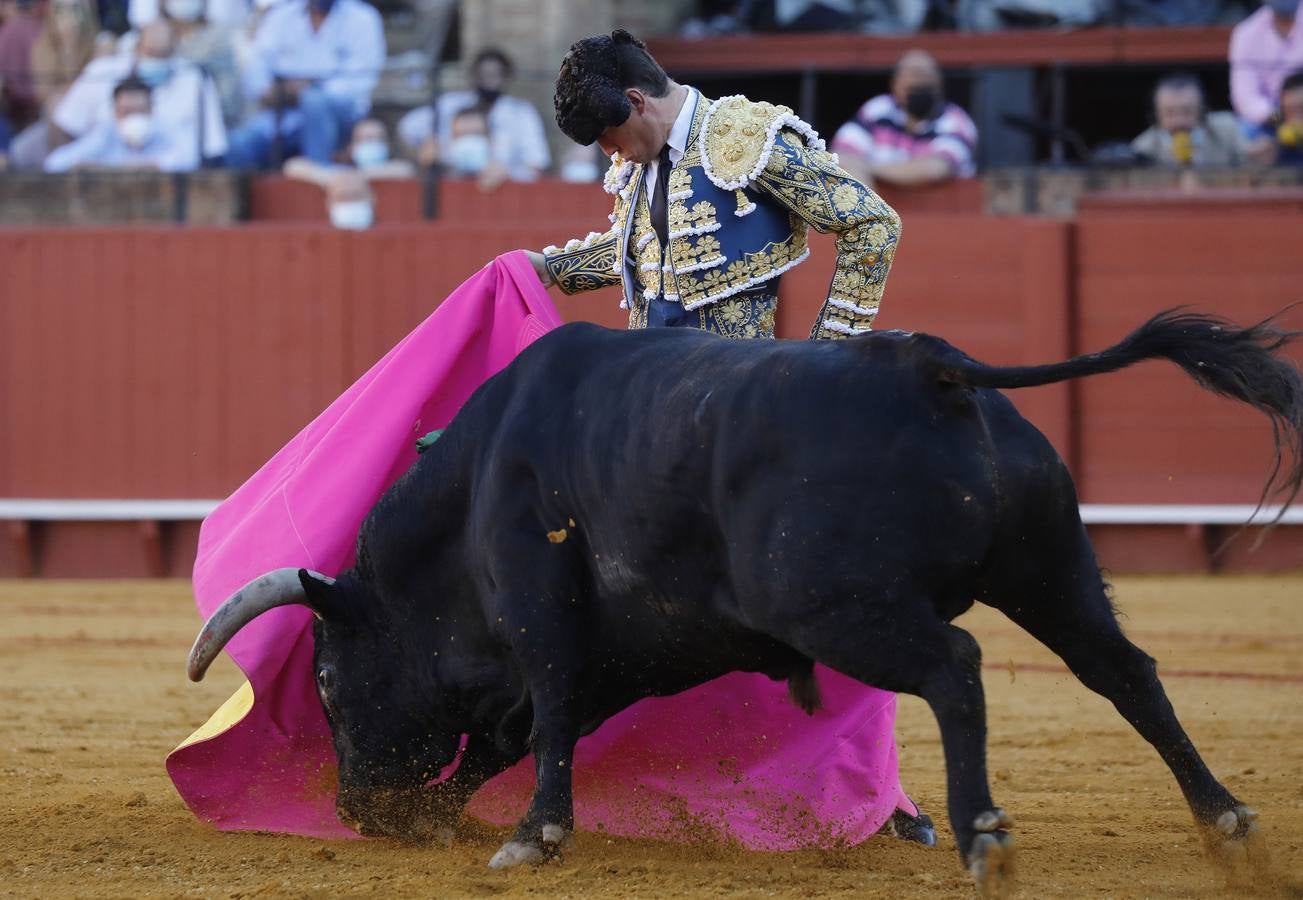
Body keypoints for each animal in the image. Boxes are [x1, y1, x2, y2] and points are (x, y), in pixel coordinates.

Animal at [188, 311, 1297, 896]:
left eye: (330, 682)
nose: (357, 810)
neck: (468, 497)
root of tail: (929, 366)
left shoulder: (543, 612)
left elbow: (542, 715)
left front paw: (530, 835)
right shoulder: (622, 655)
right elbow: (525, 736)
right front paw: (450, 819)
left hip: (834, 603)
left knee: (955, 670)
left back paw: (983, 834)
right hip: (1049, 568)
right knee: (1124, 672)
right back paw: (1227, 825)